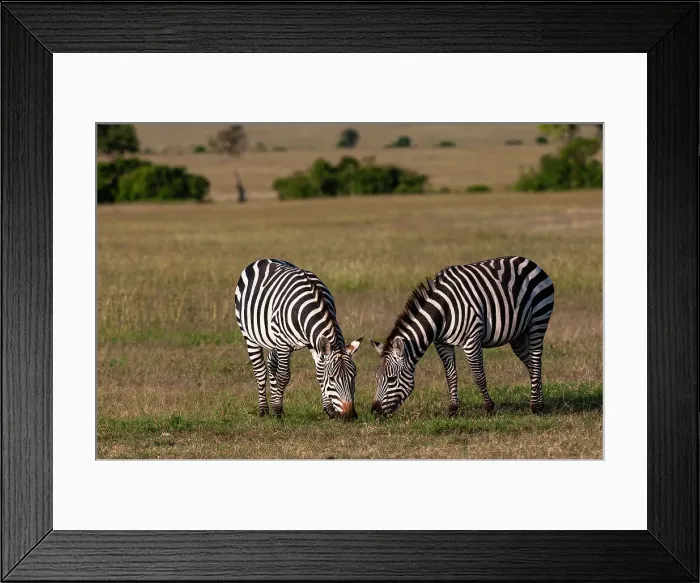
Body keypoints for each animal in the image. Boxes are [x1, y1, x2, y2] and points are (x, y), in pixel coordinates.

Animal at [235, 258, 364, 420]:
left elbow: (320, 375)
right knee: (260, 371)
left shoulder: (315, 344)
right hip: (250, 336)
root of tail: (264, 260)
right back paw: (264, 410)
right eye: (332, 379)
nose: (349, 416)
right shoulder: (284, 344)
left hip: (274, 340)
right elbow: (283, 376)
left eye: (354, 376)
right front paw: (277, 410)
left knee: (271, 363)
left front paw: (329, 410)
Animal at [370, 256, 555, 417]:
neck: (442, 313)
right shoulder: (442, 343)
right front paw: (452, 409)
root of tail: (528, 261)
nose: (374, 411)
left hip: (538, 320)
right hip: (518, 335)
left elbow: (478, 376)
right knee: (531, 363)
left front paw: (489, 408)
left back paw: (536, 406)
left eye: (392, 379)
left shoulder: (471, 340)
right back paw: (540, 401)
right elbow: (450, 375)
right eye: (377, 377)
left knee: (536, 360)